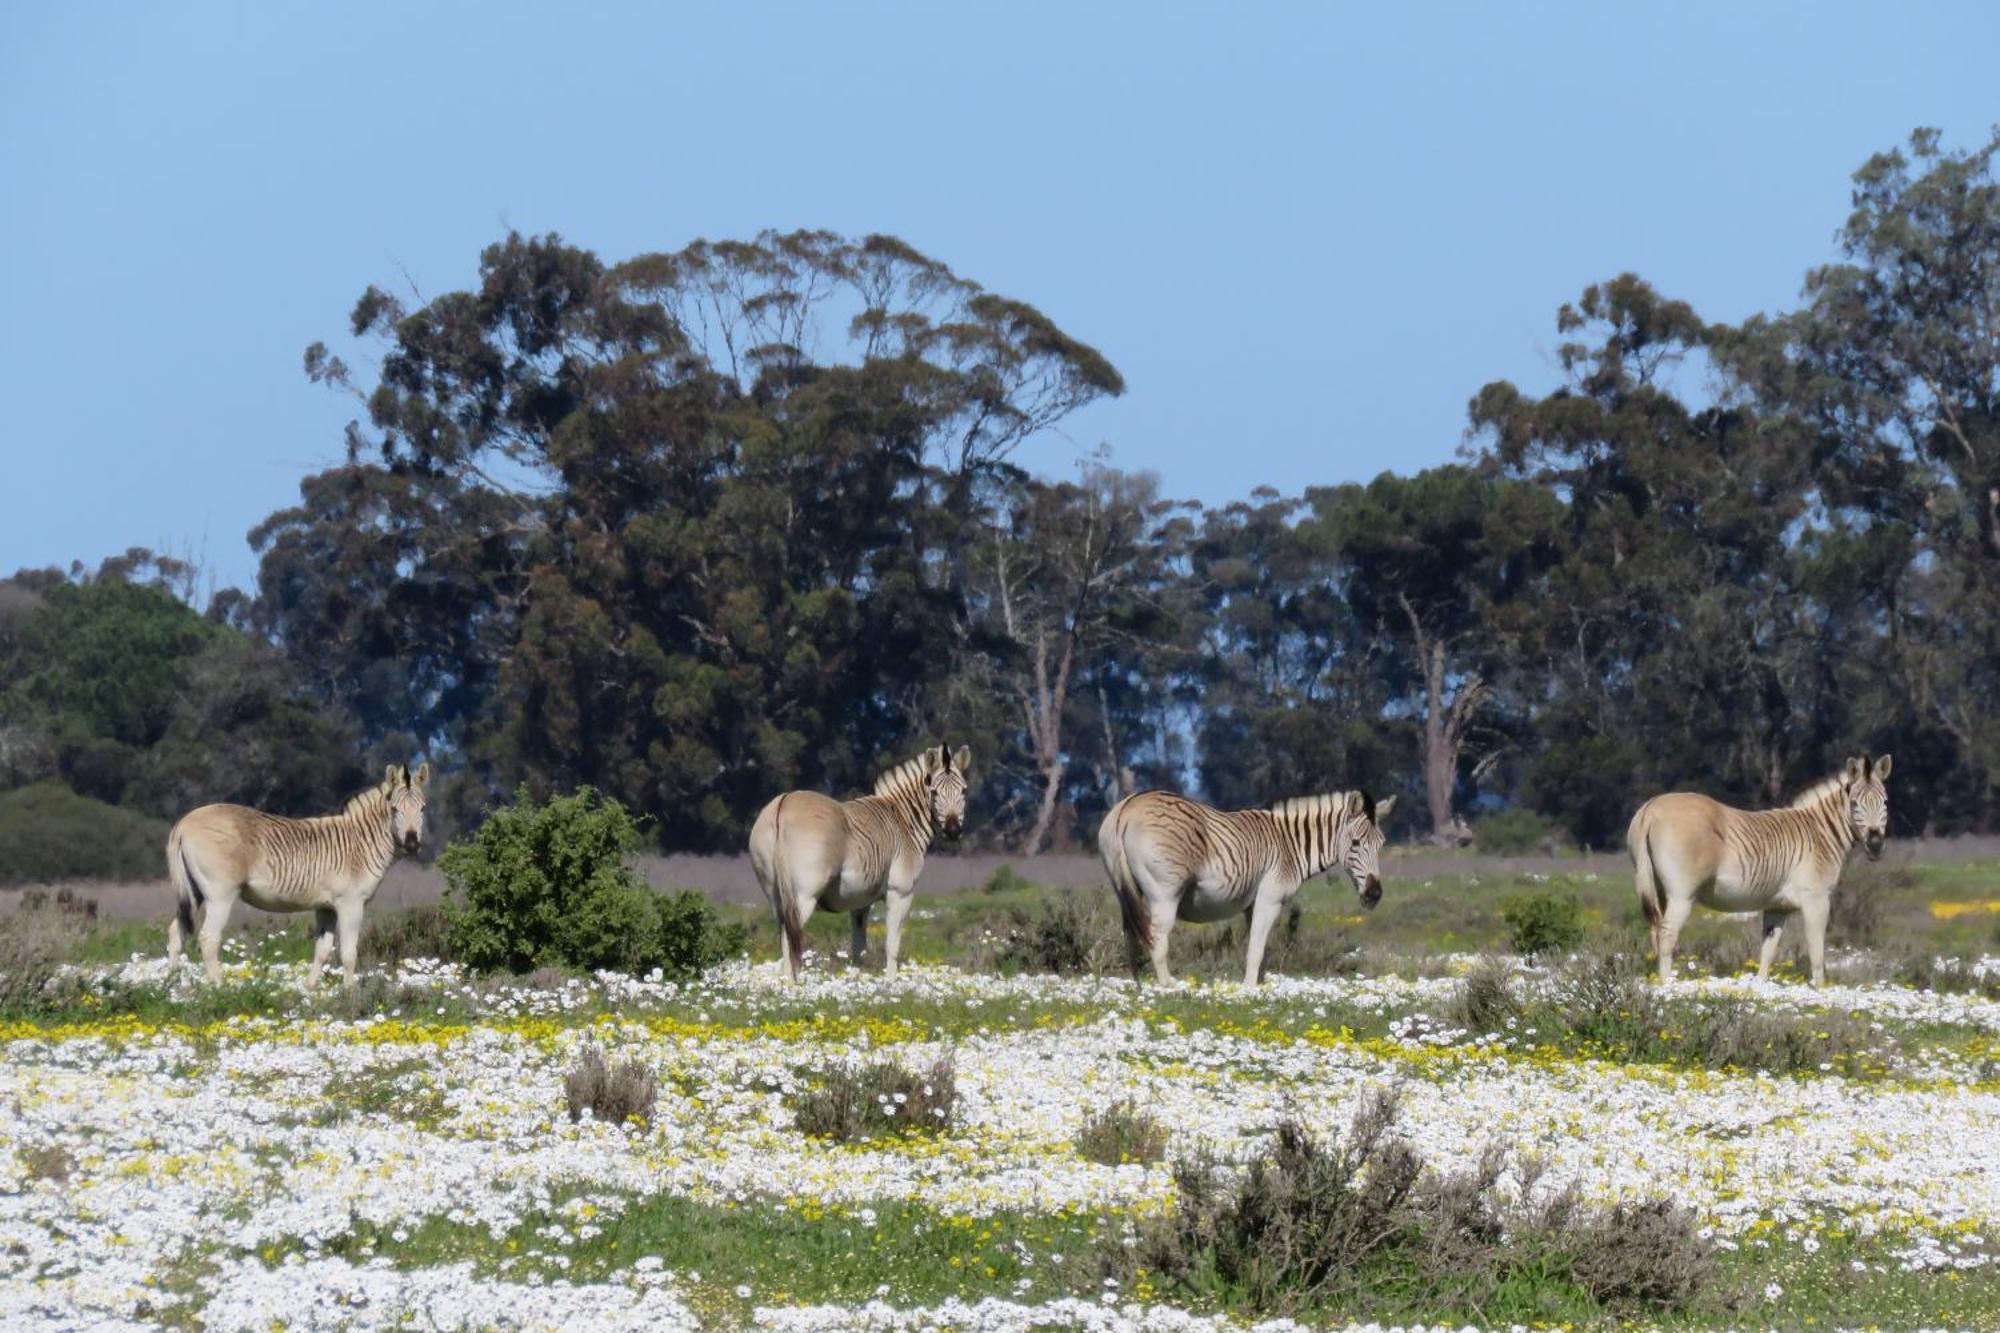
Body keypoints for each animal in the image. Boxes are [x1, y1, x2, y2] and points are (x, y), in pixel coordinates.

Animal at [168, 756, 430, 984]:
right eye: (394, 810)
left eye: (423, 809)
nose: (412, 845)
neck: (361, 844)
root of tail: (184, 823)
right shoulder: (351, 903)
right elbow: (348, 953)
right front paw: (350, 994)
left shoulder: (326, 907)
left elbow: (322, 950)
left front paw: (309, 990)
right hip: (220, 894)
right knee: (208, 937)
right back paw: (218, 988)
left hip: (194, 891)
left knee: (176, 933)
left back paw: (172, 986)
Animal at [748, 736, 972, 976]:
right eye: (934, 793)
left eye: (964, 791)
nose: (953, 831)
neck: (903, 822)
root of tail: (784, 803)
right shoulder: (900, 893)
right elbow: (892, 946)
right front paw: (891, 982)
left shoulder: (860, 901)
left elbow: (858, 949)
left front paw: (855, 981)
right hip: (803, 897)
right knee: (791, 947)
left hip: (775, 898)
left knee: (783, 944)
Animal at [1624, 752, 1888, 980]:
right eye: (1854, 804)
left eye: (1885, 802)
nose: (1875, 844)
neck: (1819, 835)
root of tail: (1651, 808)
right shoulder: (1817, 900)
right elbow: (1817, 954)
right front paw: (1821, 991)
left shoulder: (1778, 906)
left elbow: (1767, 953)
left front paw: (1760, 989)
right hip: (1682, 894)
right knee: (1667, 934)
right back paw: (1666, 986)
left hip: (1656, 887)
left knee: (1655, 930)